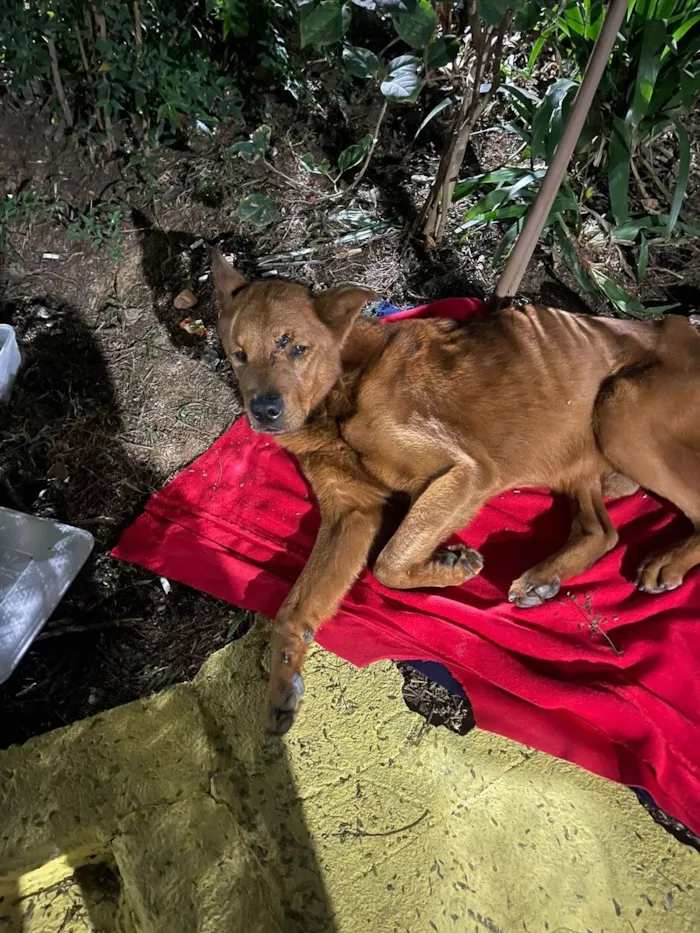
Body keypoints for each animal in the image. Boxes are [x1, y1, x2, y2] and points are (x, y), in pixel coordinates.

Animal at [212, 249, 700, 736]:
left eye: (297, 348)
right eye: (239, 355)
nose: (264, 411)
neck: (337, 395)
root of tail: (681, 326)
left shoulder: (466, 471)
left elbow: (387, 563)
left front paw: (450, 566)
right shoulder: (351, 513)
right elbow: (294, 606)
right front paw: (282, 681)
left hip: (618, 412)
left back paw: (667, 561)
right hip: (578, 446)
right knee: (602, 531)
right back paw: (544, 578)